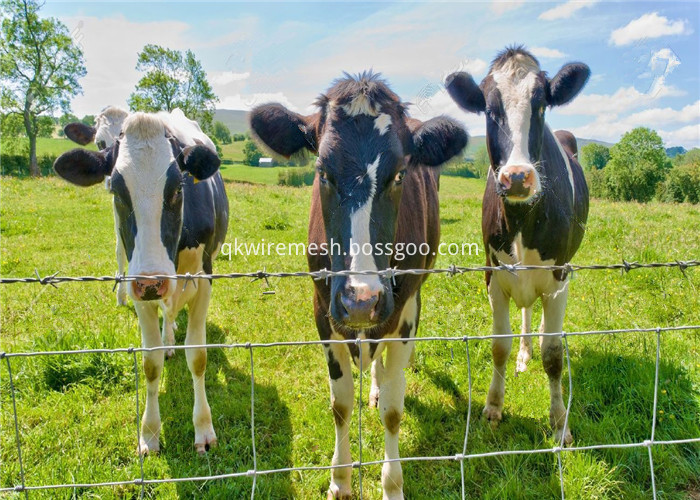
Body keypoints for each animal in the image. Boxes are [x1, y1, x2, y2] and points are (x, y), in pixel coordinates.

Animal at [55, 111, 230, 456]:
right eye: (118, 192)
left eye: (177, 189)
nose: (153, 281)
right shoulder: (138, 286)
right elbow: (150, 362)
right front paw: (149, 432)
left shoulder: (204, 280)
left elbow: (198, 357)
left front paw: (203, 428)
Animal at [249, 71, 468, 500]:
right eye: (322, 172)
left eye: (399, 173)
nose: (361, 301)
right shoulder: (323, 309)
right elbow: (341, 404)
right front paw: (341, 479)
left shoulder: (400, 312)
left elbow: (394, 410)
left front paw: (392, 484)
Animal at [448, 47, 592, 446]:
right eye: (489, 109)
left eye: (541, 106)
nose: (516, 177)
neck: (522, 221)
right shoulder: (493, 274)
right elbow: (500, 344)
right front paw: (493, 406)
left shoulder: (559, 277)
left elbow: (553, 352)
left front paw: (560, 423)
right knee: (526, 313)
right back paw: (524, 354)